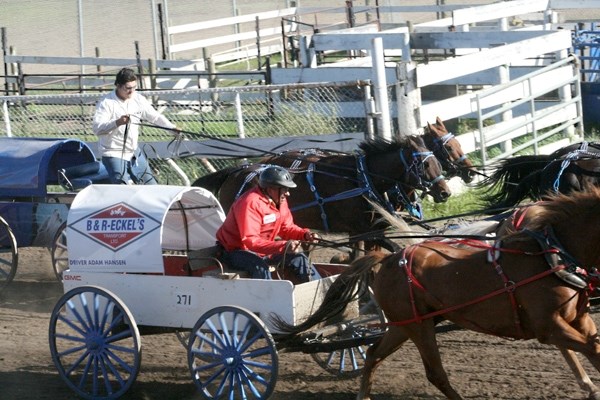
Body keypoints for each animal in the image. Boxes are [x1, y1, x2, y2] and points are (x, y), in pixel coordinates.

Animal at [274, 188, 600, 400]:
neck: (549, 255)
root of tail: (388, 259)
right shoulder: (548, 327)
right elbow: (591, 349)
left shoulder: (579, 320)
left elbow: (593, 346)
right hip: (417, 327)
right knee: (434, 372)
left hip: (405, 325)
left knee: (373, 355)